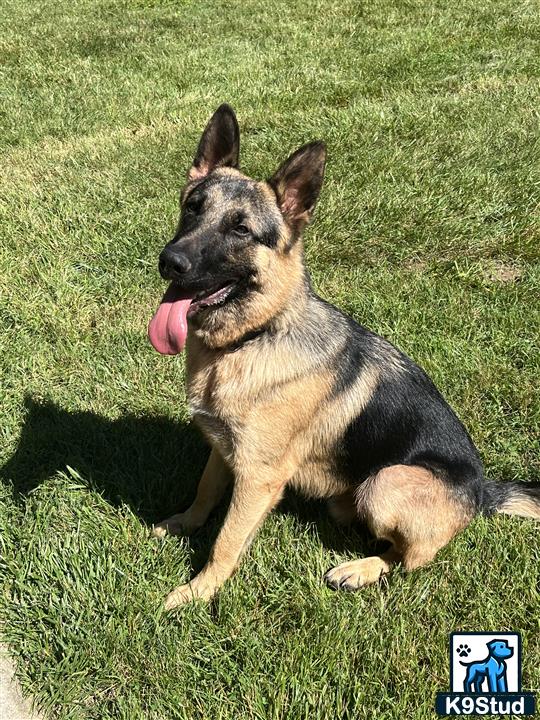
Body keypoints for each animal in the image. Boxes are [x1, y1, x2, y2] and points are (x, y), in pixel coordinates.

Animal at [149, 102, 540, 608]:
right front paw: (184, 524)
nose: (170, 261)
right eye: (192, 208)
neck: (254, 336)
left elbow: (227, 540)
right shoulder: (223, 448)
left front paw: (198, 591)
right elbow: (204, 491)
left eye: (241, 229)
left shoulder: (258, 477)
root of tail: (482, 492)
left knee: (413, 559)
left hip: (384, 484)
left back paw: (361, 568)